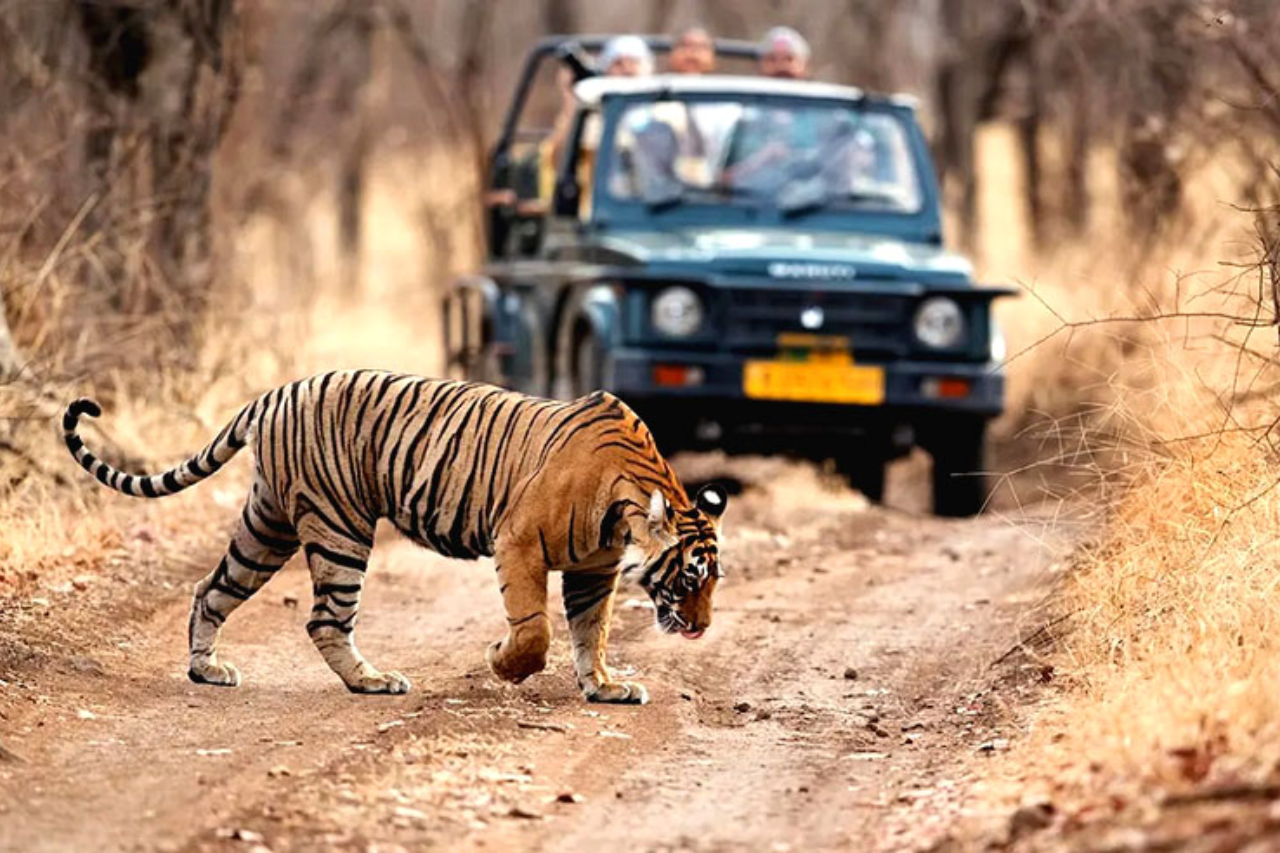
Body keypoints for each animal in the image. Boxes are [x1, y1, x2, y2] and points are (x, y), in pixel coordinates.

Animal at [62, 370, 728, 704]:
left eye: (713, 581)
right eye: (690, 576)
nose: (702, 628)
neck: (627, 505)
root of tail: (275, 393)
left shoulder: (595, 569)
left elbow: (593, 631)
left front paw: (605, 686)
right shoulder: (518, 542)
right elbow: (535, 630)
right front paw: (503, 663)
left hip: (267, 525)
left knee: (211, 588)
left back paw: (207, 670)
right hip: (340, 527)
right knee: (324, 620)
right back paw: (372, 681)